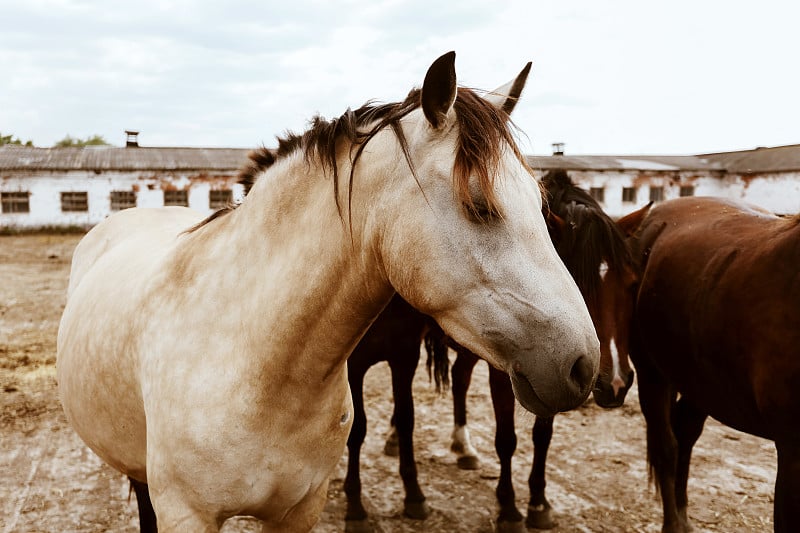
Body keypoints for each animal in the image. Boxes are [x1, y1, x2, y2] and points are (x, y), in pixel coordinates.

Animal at [57, 51, 600, 532]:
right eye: (480, 204)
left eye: (540, 205)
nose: (583, 365)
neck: (256, 364)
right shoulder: (186, 514)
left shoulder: (299, 510)